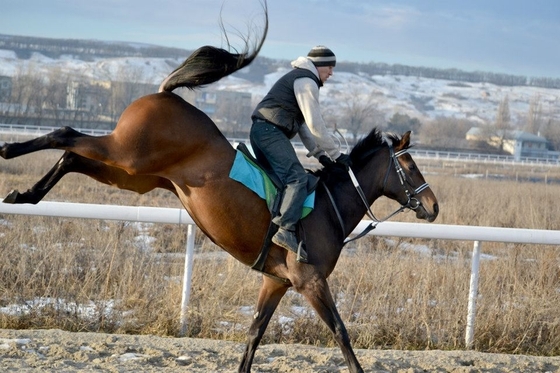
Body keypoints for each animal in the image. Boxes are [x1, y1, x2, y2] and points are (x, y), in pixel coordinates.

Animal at [0, 6, 438, 372]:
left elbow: (254, 334)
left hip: (134, 175)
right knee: (65, 134)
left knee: (72, 157)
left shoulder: (276, 282)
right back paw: (9, 152)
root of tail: (165, 93)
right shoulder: (310, 281)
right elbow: (341, 333)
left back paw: (25, 195)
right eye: (410, 165)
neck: (329, 209)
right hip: (127, 153)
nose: (433, 206)